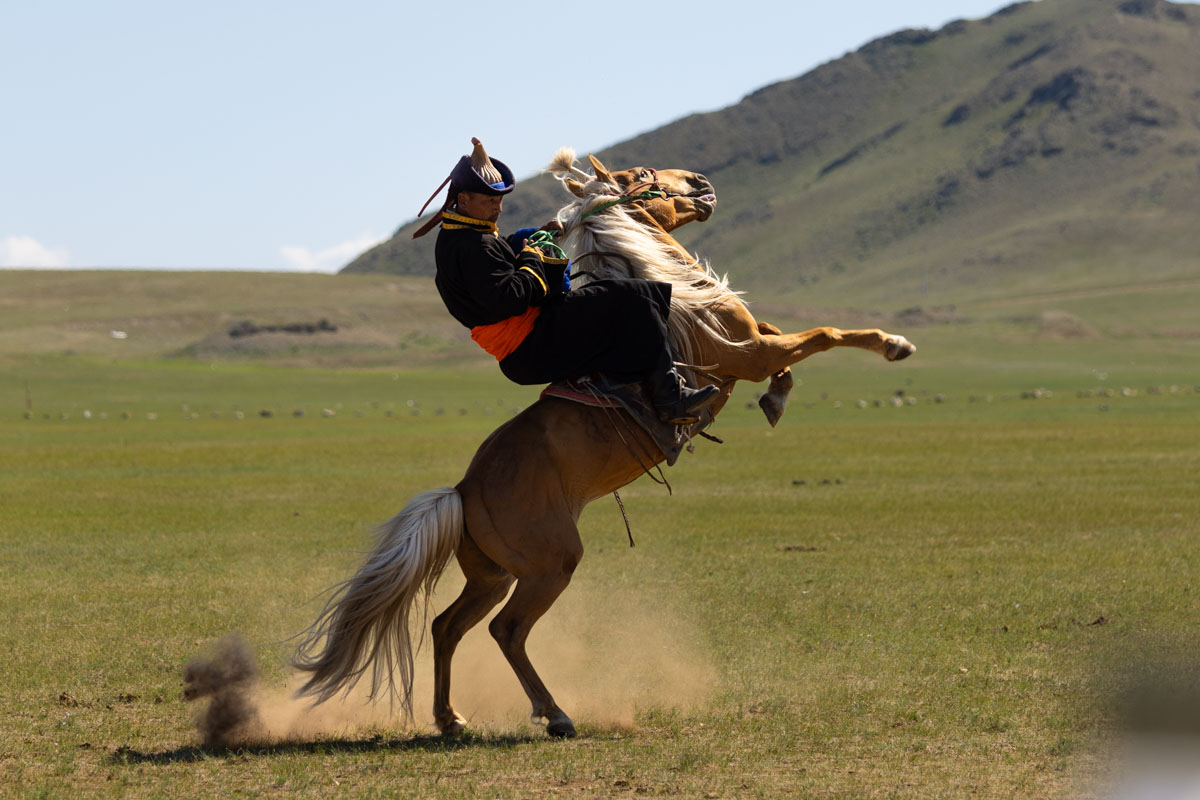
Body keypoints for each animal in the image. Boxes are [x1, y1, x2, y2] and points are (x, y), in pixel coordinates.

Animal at [291, 149, 916, 739]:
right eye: (640, 173)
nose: (701, 181)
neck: (676, 291)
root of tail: (464, 489)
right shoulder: (747, 353)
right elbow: (824, 334)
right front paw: (894, 345)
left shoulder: (756, 346)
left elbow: (791, 342)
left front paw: (779, 398)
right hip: (551, 565)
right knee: (506, 630)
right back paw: (555, 714)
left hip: (493, 575)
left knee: (448, 626)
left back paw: (450, 719)